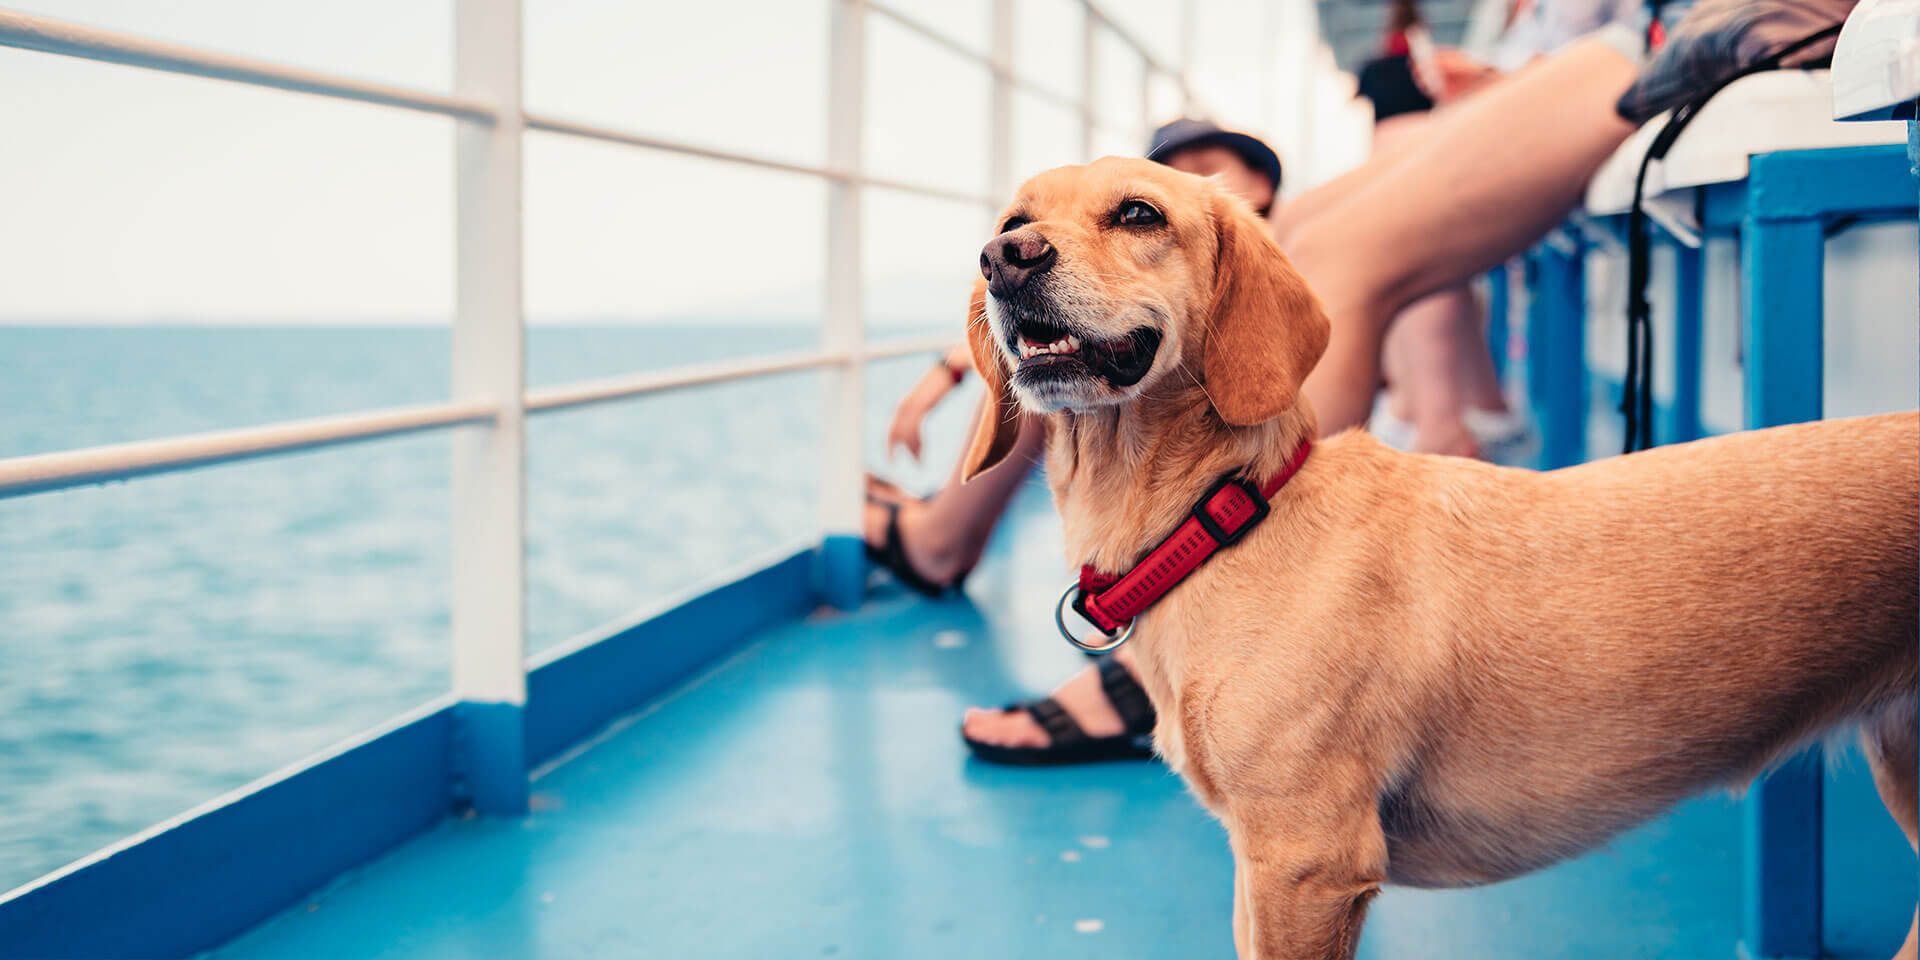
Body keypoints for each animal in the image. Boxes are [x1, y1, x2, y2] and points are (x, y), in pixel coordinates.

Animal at [960, 157, 1920, 960]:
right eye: (1014, 219)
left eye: (1138, 213)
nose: (1005, 257)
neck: (1224, 515)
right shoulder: (1259, 869)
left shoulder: (1305, 861)